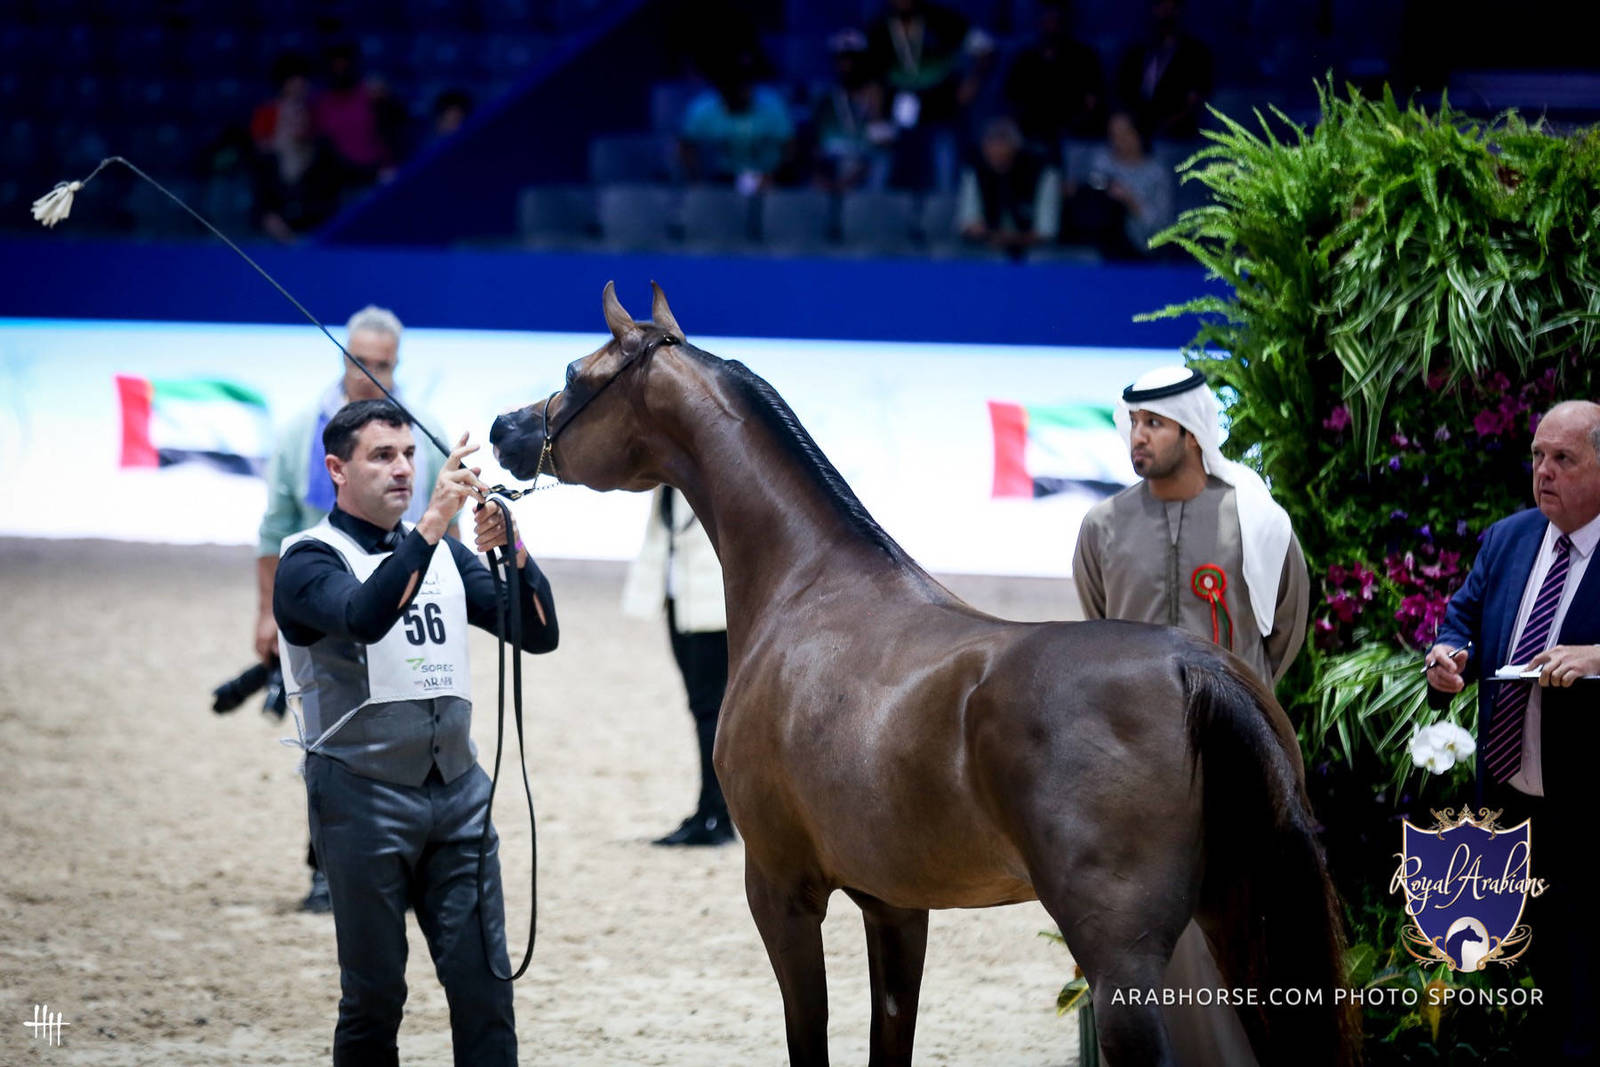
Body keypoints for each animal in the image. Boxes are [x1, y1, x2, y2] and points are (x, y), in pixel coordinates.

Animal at [490, 283, 1357, 1067]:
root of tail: (1192, 665)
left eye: (574, 371)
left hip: (1125, 964)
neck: (809, 585)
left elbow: (810, 1039)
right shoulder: (896, 906)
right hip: (1243, 927)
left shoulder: (780, 891)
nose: (503, 428)